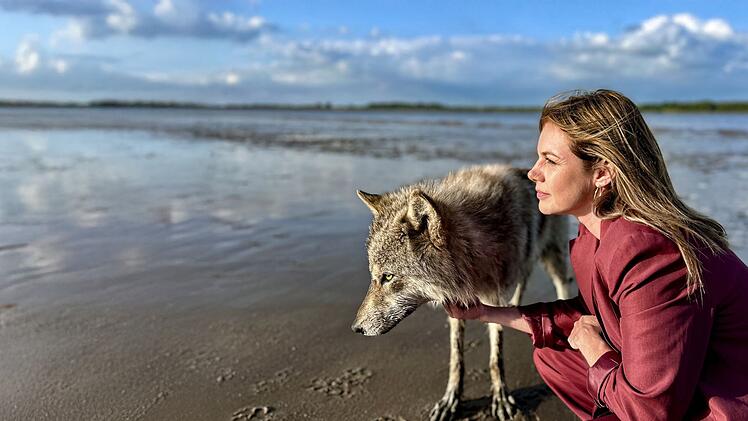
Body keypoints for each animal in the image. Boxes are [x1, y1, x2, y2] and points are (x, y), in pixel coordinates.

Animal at [351, 164, 573, 421]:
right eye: (374, 276)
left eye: (387, 277)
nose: (356, 328)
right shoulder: (458, 307)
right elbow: (457, 359)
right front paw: (451, 400)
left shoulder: (493, 300)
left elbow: (495, 358)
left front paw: (501, 397)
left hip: (554, 257)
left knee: (562, 284)